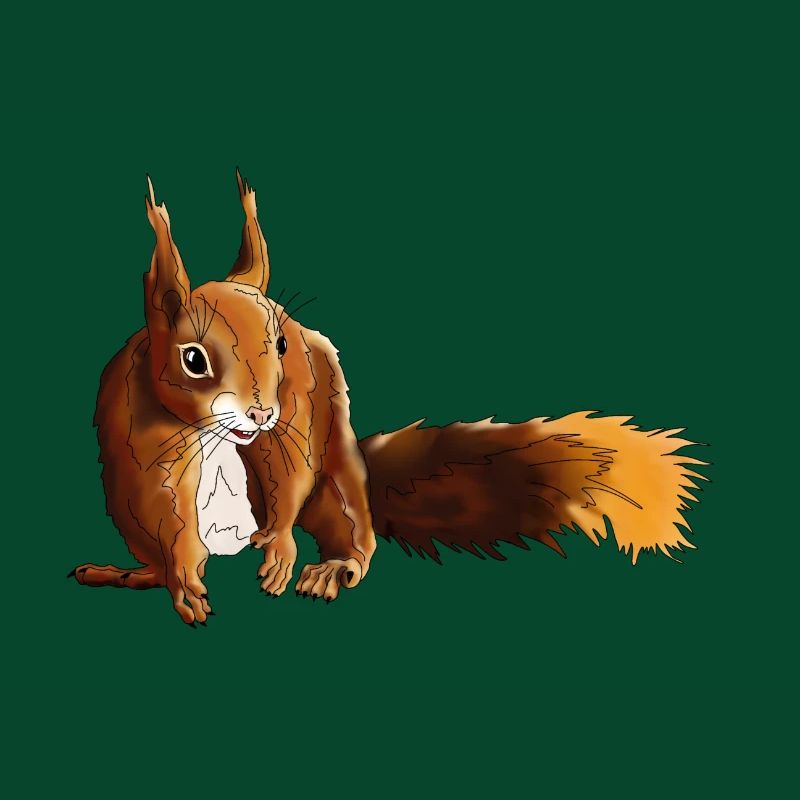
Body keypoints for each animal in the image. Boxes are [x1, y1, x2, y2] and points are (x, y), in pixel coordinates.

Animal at [68, 171, 708, 625]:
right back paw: (133, 574)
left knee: (351, 526)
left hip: (339, 477)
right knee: (158, 551)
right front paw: (184, 582)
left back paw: (332, 568)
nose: (262, 411)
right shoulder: (147, 452)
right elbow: (168, 512)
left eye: (281, 343)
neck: (219, 433)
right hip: (126, 513)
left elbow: (290, 477)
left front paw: (279, 548)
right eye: (193, 360)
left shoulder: (296, 420)